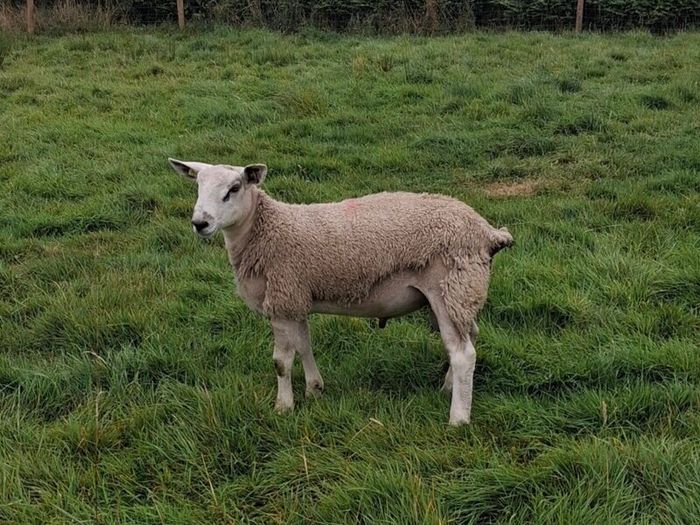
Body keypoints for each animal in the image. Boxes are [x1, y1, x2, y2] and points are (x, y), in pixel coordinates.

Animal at [168, 158, 513, 425]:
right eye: (197, 186)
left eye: (234, 189)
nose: (200, 223)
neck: (264, 230)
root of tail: (488, 232)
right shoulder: (296, 299)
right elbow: (304, 346)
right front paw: (314, 390)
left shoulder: (281, 299)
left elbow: (281, 362)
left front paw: (283, 407)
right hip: (459, 292)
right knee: (468, 338)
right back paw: (448, 388)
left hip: (449, 287)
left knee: (463, 353)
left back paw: (458, 419)